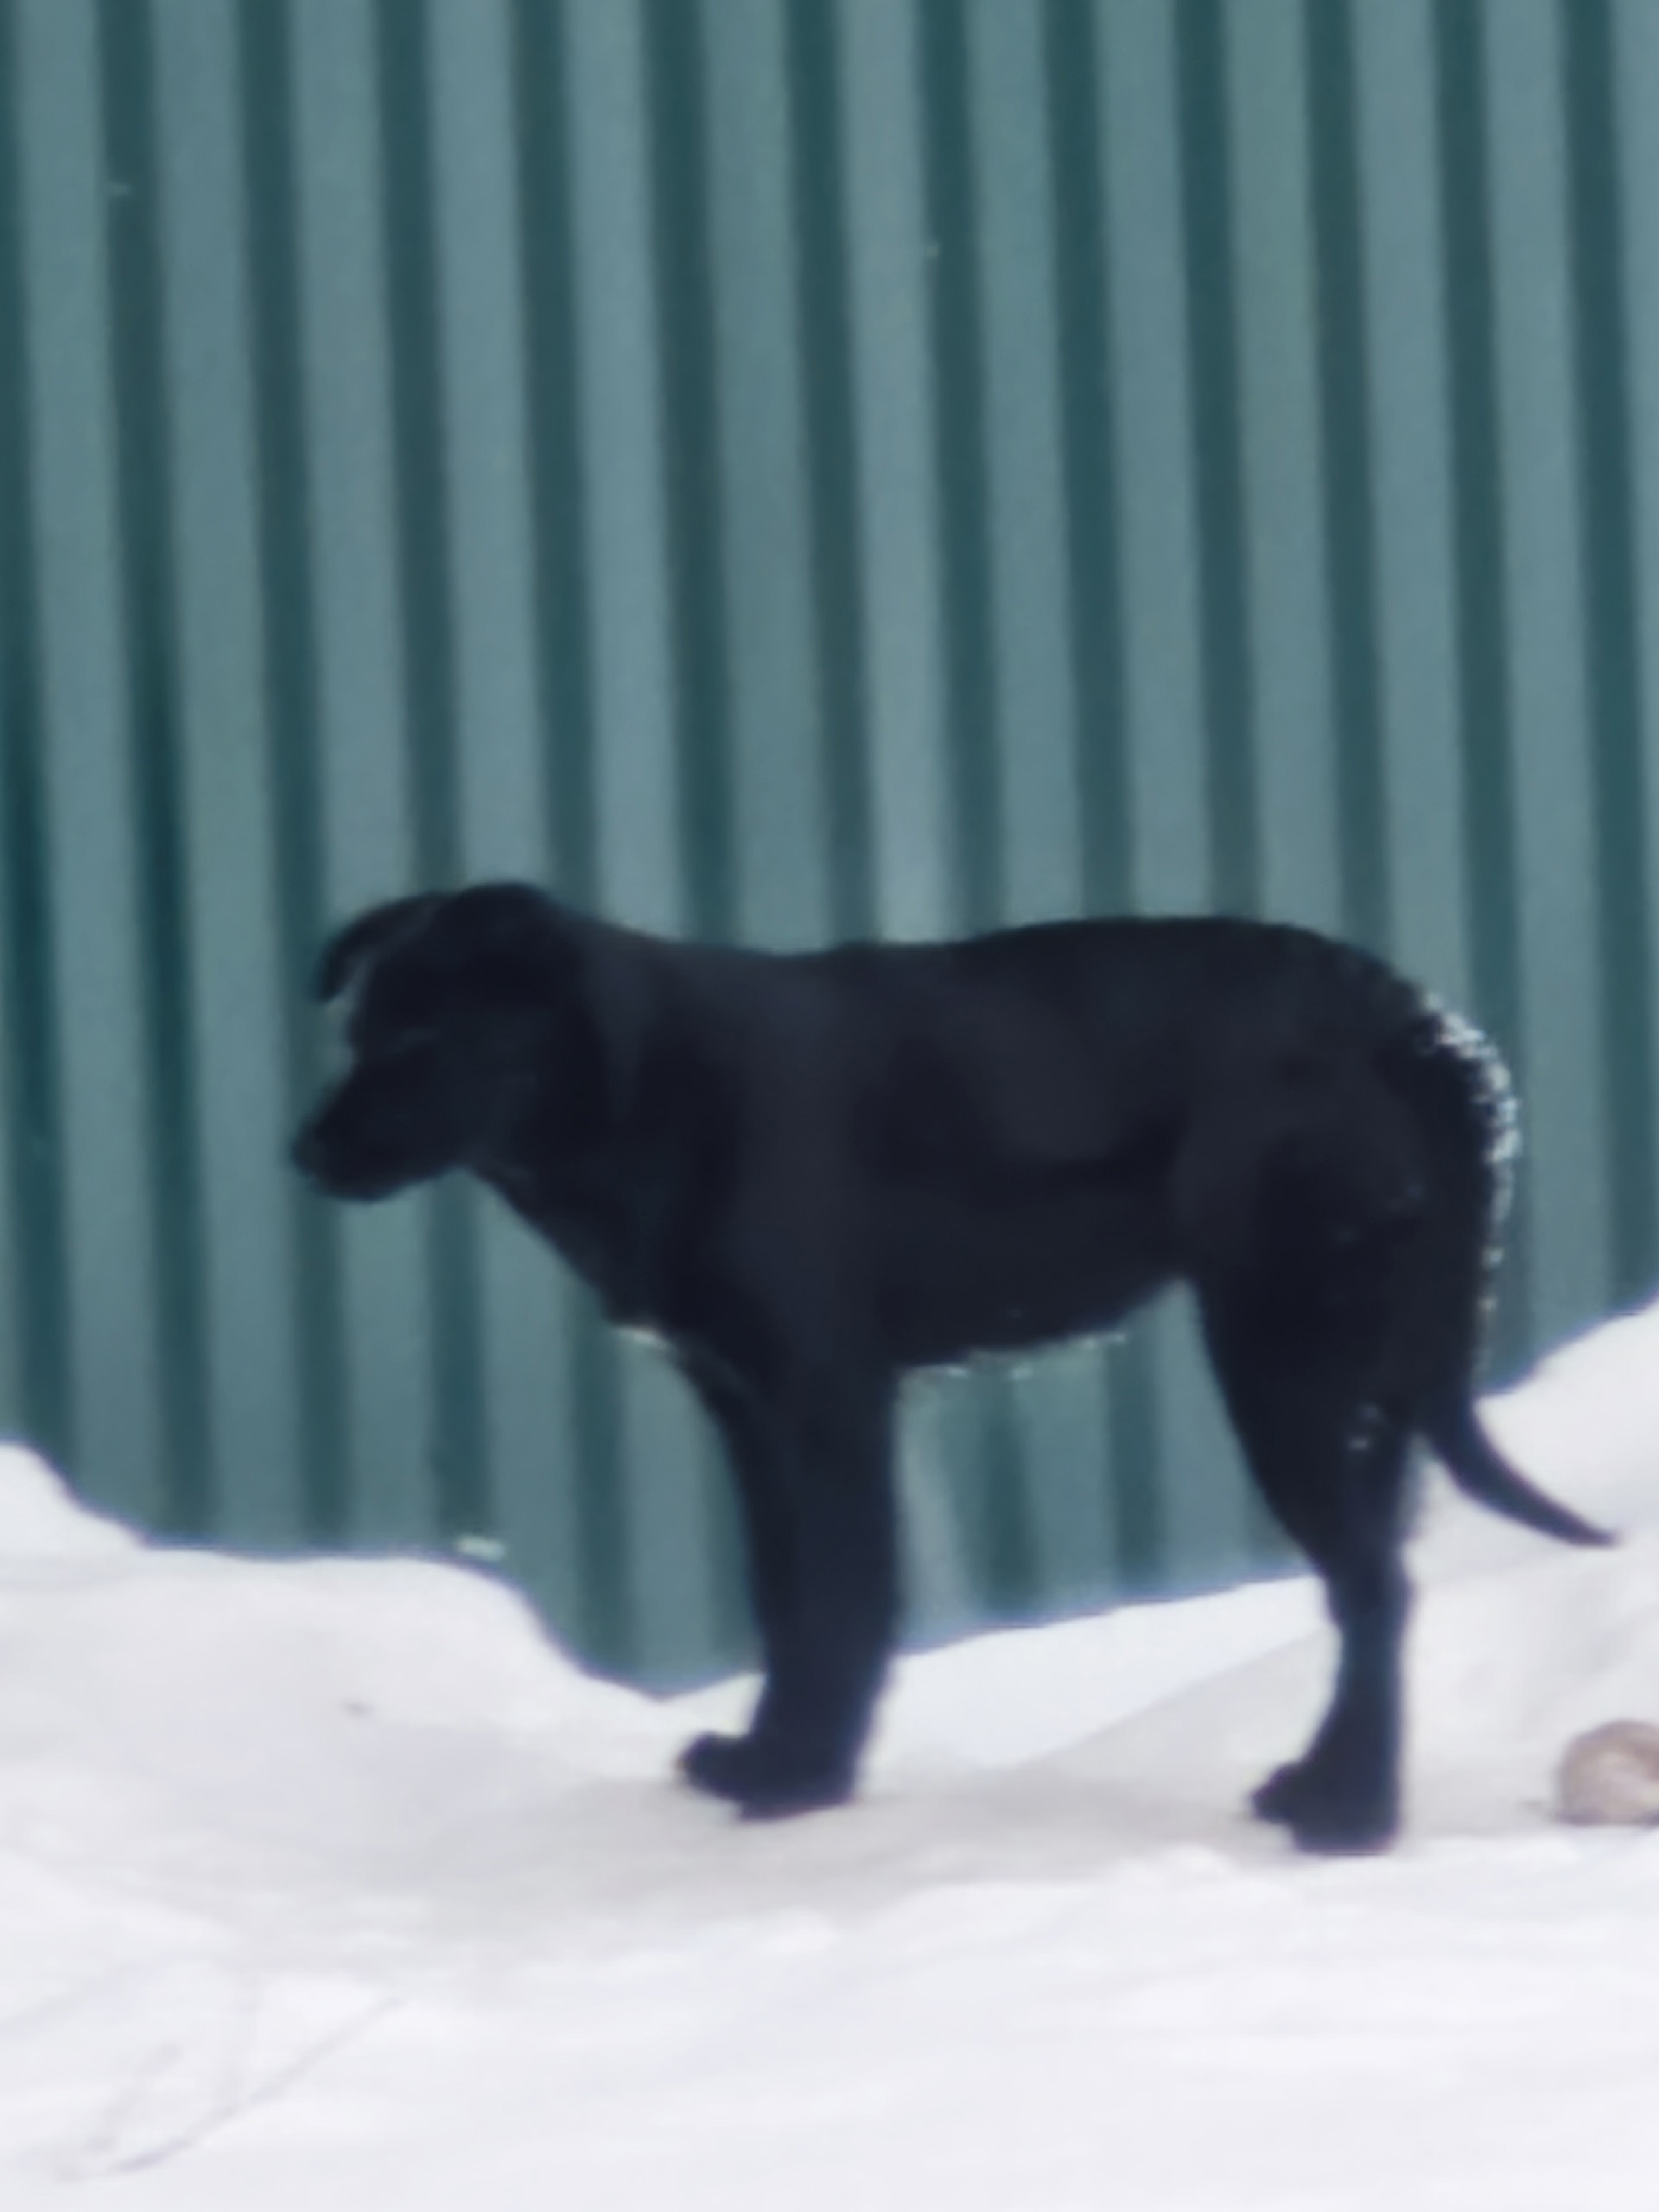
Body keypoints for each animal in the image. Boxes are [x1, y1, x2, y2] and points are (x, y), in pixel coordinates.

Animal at [291, 884, 1609, 1853]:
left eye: (421, 1035)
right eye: (358, 1029)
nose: (301, 1152)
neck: (644, 1090)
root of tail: (1403, 1014)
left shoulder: (823, 1394)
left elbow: (841, 1598)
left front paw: (799, 1782)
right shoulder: (741, 1403)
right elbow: (785, 1598)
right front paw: (769, 1759)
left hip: (1282, 1358)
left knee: (1372, 1586)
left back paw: (1352, 1819)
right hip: (1363, 1379)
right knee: (1371, 1586)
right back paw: (1318, 1787)